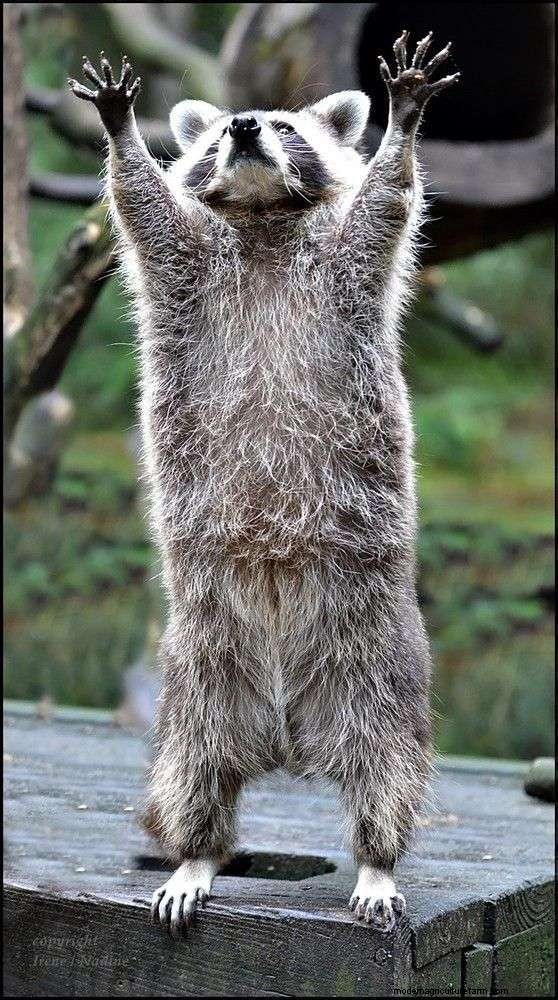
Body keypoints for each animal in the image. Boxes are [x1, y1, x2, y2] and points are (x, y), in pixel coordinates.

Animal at [70, 31, 459, 936]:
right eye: (222, 134)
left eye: (284, 127)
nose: (245, 125)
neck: (262, 219)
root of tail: (286, 734)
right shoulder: (184, 268)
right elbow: (143, 208)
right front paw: (122, 134)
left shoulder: (348, 265)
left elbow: (388, 200)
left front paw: (404, 125)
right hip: (197, 669)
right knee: (193, 772)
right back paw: (197, 853)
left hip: (376, 658)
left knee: (385, 767)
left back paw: (378, 859)